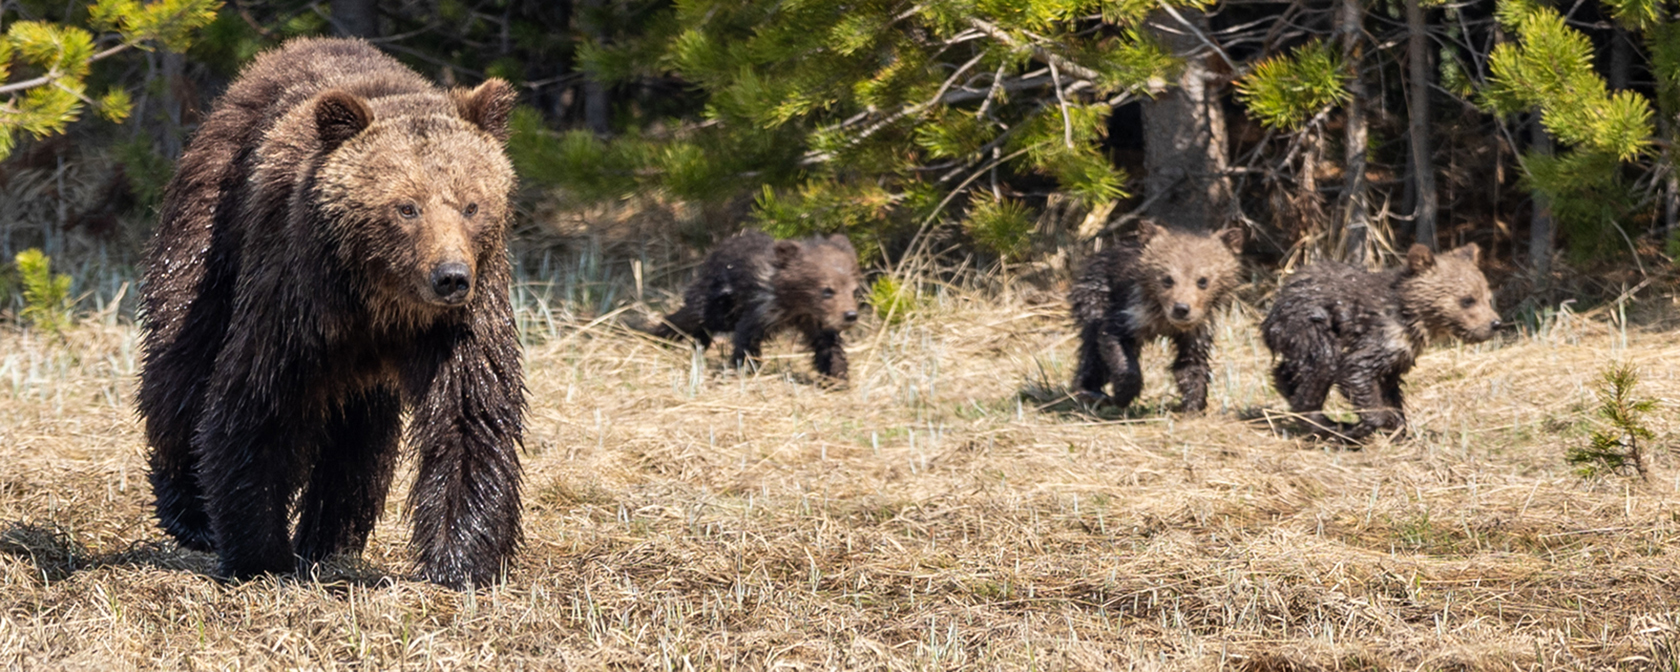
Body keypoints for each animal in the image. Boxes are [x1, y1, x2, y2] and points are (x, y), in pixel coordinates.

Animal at [139, 38, 524, 588]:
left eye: (472, 205)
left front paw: (462, 561)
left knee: (358, 439)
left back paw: (329, 540)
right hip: (212, 221)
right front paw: (258, 552)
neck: (380, 301)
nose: (450, 277)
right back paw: (188, 510)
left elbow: (470, 413)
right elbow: (257, 402)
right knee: (183, 358)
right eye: (406, 207)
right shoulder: (294, 294)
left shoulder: (462, 320)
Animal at [635, 230, 860, 378]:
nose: (850, 315)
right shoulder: (760, 308)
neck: (795, 305)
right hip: (717, 302)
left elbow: (828, 344)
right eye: (827, 290)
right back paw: (655, 335)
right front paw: (746, 368)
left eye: (854, 289)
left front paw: (837, 374)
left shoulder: (814, 319)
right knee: (693, 316)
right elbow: (746, 337)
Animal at [1068, 220, 1243, 411]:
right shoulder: (1131, 312)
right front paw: (1123, 394)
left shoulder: (1197, 329)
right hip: (1096, 293)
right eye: (1167, 278)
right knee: (1092, 347)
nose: (1181, 308)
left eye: (1203, 280)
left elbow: (1191, 363)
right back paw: (1089, 391)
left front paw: (1194, 403)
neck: (1162, 319)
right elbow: (1113, 342)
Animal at [1263, 243, 1498, 440]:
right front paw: (1367, 425)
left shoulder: (1400, 355)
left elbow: (1390, 389)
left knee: (1290, 369)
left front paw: (1399, 428)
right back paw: (1328, 424)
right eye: (1467, 300)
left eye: (1488, 297)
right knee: (1322, 362)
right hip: (1308, 324)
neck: (1411, 316)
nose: (1495, 323)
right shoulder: (1378, 337)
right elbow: (1355, 371)